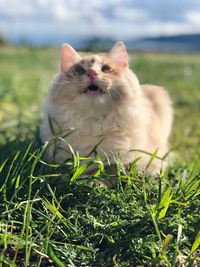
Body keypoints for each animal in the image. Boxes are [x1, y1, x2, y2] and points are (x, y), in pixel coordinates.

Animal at [39, 41, 173, 174]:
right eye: (80, 70)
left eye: (106, 69)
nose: (92, 73)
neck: (94, 125)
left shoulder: (146, 161)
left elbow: (112, 169)